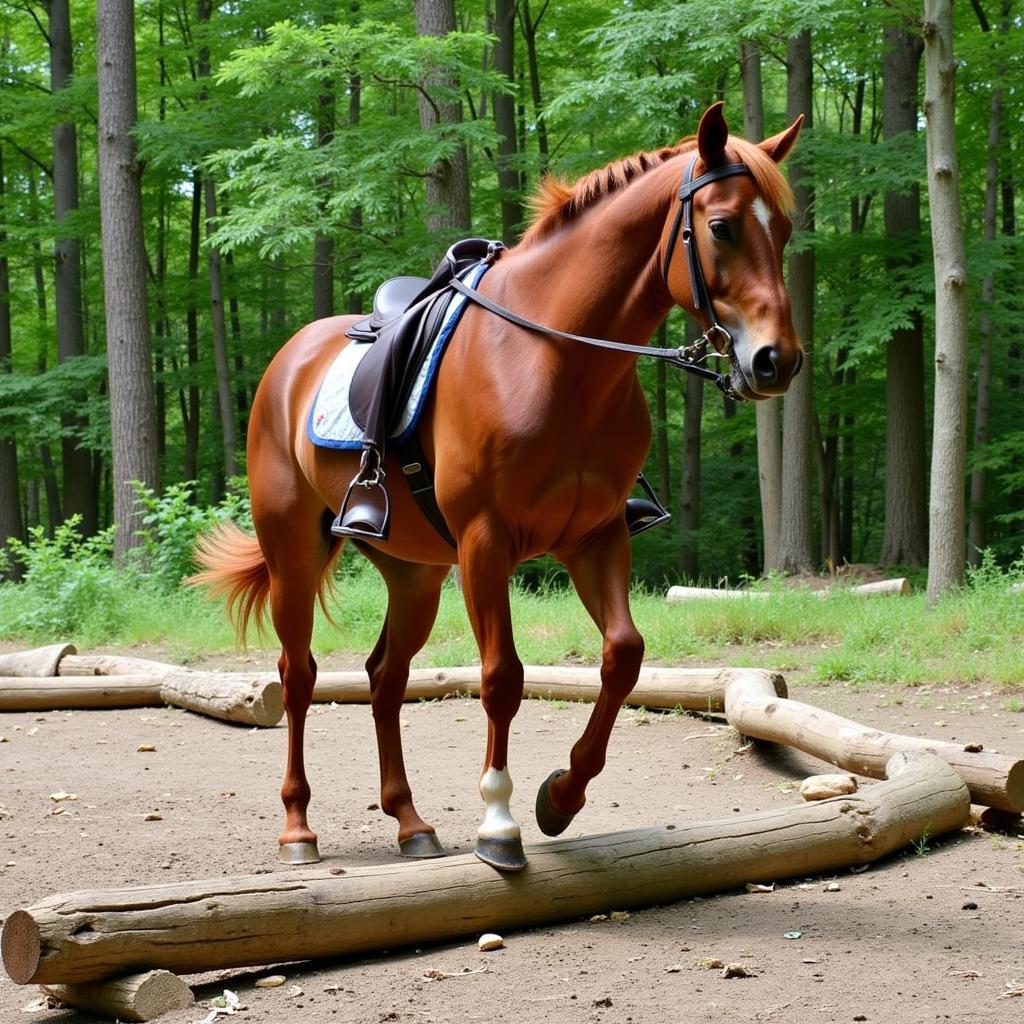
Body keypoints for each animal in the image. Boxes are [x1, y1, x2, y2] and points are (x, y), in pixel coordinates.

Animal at [192, 101, 798, 872]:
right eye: (721, 226)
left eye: (783, 229)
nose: (778, 361)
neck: (558, 361)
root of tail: (288, 361)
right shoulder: (485, 543)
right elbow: (502, 676)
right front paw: (499, 823)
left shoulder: (597, 536)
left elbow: (623, 656)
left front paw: (561, 796)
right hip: (294, 553)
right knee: (297, 676)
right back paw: (298, 828)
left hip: (414, 573)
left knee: (385, 677)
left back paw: (411, 822)